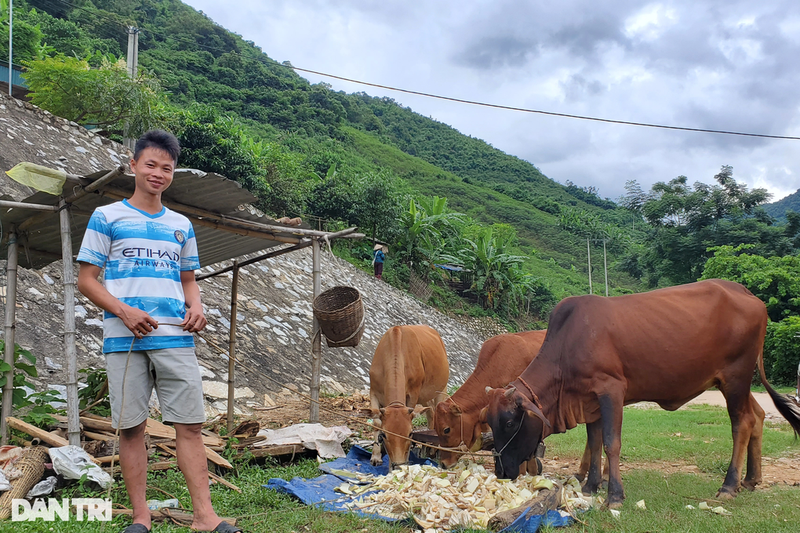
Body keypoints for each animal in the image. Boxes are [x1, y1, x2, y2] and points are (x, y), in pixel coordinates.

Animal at [370, 324, 450, 466]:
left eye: (410, 433)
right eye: (384, 435)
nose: (398, 463)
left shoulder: (413, 394)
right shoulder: (373, 390)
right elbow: (376, 422)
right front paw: (376, 456)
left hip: (441, 388)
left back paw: (436, 449)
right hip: (424, 396)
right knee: (431, 411)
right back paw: (427, 447)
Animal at [482, 278, 800, 508]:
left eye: (509, 422)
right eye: (490, 423)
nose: (500, 471)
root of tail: (745, 292)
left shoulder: (611, 390)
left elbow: (611, 443)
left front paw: (614, 495)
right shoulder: (589, 400)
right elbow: (594, 442)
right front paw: (590, 486)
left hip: (736, 378)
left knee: (742, 423)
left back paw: (729, 485)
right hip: (734, 382)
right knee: (758, 415)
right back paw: (751, 479)